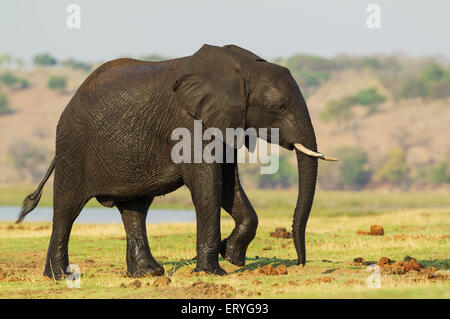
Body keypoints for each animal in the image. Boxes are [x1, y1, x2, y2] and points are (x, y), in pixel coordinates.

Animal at [16, 43, 334, 278]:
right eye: (280, 107)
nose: (300, 263)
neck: (244, 67)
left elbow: (228, 183)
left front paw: (231, 255)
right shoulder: (191, 124)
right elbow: (207, 184)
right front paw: (214, 272)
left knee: (135, 209)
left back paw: (149, 274)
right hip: (73, 147)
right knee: (67, 208)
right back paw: (59, 276)